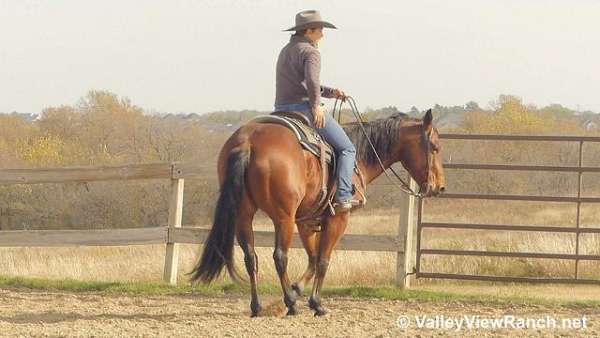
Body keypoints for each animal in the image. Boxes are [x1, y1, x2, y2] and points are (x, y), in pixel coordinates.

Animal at [191, 109, 446, 316]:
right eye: (435, 147)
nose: (440, 187)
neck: (357, 156)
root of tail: (248, 142)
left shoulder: (307, 221)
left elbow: (313, 259)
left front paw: (297, 289)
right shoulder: (337, 218)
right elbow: (323, 260)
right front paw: (315, 303)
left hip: (244, 214)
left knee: (250, 256)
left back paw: (257, 306)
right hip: (283, 218)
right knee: (280, 256)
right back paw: (290, 304)